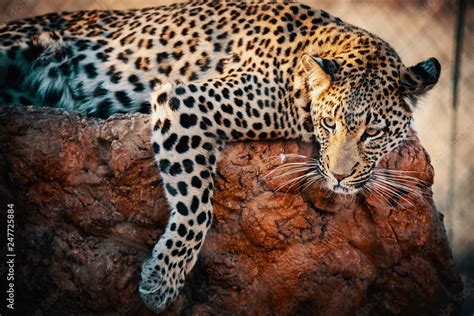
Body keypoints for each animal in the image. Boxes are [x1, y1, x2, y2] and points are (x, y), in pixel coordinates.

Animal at [0, 0, 440, 314]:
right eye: (329, 124)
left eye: (372, 133)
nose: (338, 177)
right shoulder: (185, 101)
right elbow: (197, 206)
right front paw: (162, 281)